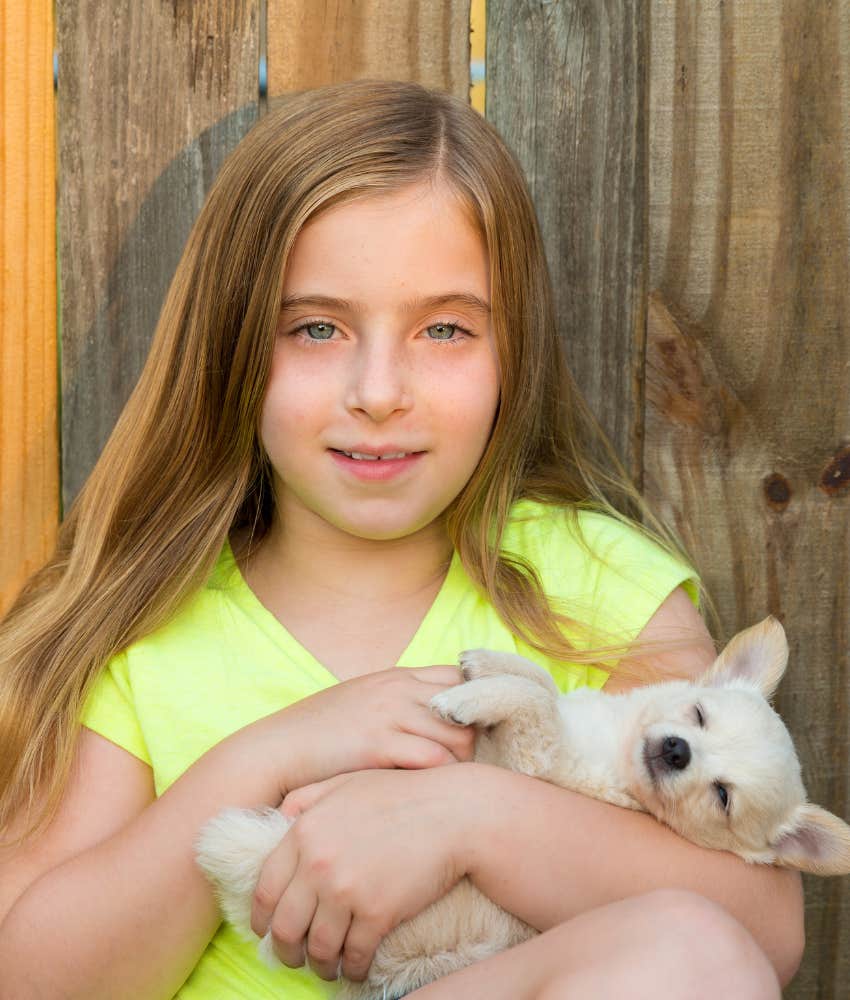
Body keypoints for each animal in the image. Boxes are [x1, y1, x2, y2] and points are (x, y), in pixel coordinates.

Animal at [195, 616, 848, 1000]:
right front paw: (490, 662)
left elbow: (534, 704)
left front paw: (473, 698)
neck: (610, 746)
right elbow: (542, 683)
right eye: (698, 715)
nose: (675, 749)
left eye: (722, 796)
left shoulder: (534, 762)